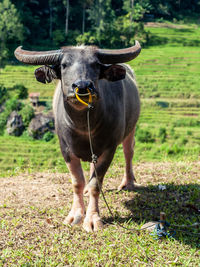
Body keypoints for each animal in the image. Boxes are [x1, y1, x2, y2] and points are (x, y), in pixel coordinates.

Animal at [14, 42, 141, 232]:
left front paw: (92, 218)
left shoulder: (109, 148)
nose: (82, 86)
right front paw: (76, 215)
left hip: (131, 128)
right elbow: (77, 182)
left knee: (128, 152)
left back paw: (128, 183)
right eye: (64, 65)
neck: (84, 127)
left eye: (95, 64)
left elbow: (96, 184)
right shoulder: (66, 149)